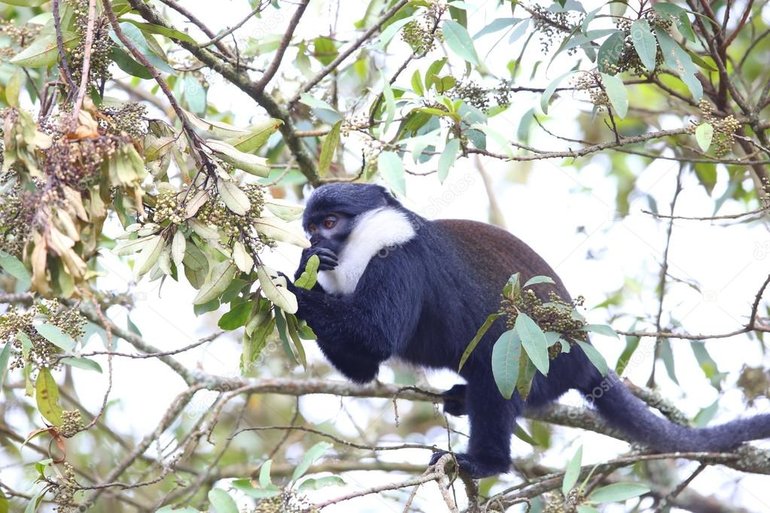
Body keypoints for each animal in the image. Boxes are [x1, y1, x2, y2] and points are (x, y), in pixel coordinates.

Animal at [286, 182, 768, 478]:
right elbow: (363, 367)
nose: (315, 243)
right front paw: (300, 273)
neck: (368, 241)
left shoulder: (398, 257)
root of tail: (585, 351)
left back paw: (485, 462)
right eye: (310, 227)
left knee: (495, 367)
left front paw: (285, 282)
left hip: (539, 361)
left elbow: (375, 337)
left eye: (330, 223)